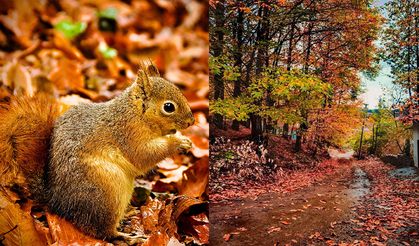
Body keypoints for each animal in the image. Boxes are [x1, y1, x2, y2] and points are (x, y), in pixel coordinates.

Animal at [0, 62, 196, 240]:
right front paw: (178, 141)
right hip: (107, 190)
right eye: (168, 107)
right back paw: (125, 237)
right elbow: (143, 155)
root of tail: (56, 200)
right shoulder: (128, 135)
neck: (136, 114)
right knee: (100, 230)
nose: (191, 122)